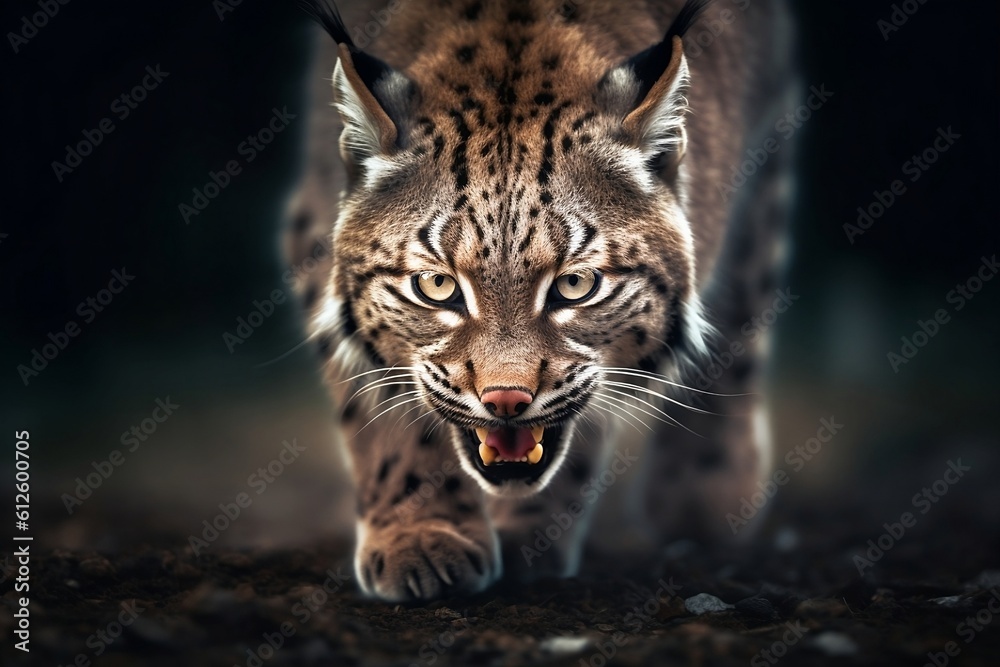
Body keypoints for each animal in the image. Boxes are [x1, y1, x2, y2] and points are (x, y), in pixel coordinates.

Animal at [285, 0, 796, 601]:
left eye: (575, 285)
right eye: (437, 286)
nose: (506, 400)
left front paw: (532, 538)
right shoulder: (315, 225)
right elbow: (379, 402)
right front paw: (422, 536)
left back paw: (707, 493)